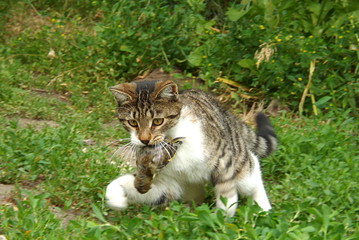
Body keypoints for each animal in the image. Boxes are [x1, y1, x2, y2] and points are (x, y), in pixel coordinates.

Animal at [105, 79, 278, 217]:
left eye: (158, 121)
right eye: (132, 122)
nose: (145, 140)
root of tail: (224, 112)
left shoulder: (223, 160)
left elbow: (226, 195)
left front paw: (220, 221)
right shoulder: (168, 184)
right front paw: (115, 198)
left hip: (238, 162)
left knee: (251, 168)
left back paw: (263, 209)